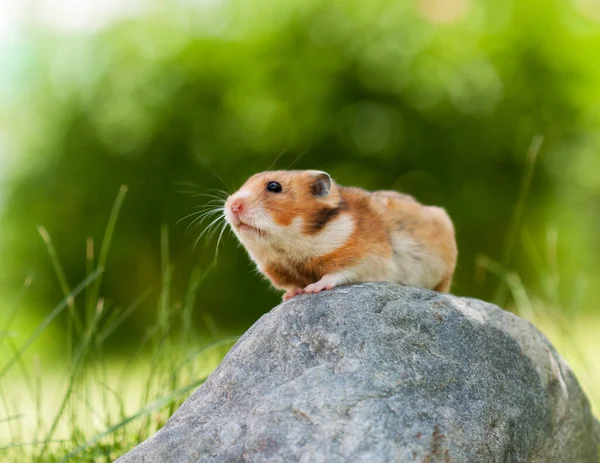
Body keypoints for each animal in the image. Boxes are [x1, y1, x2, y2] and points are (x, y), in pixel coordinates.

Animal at [223, 170, 458, 300]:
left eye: (274, 186)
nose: (233, 205)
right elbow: (292, 286)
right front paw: (289, 296)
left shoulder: (369, 259)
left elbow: (338, 273)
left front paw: (313, 288)